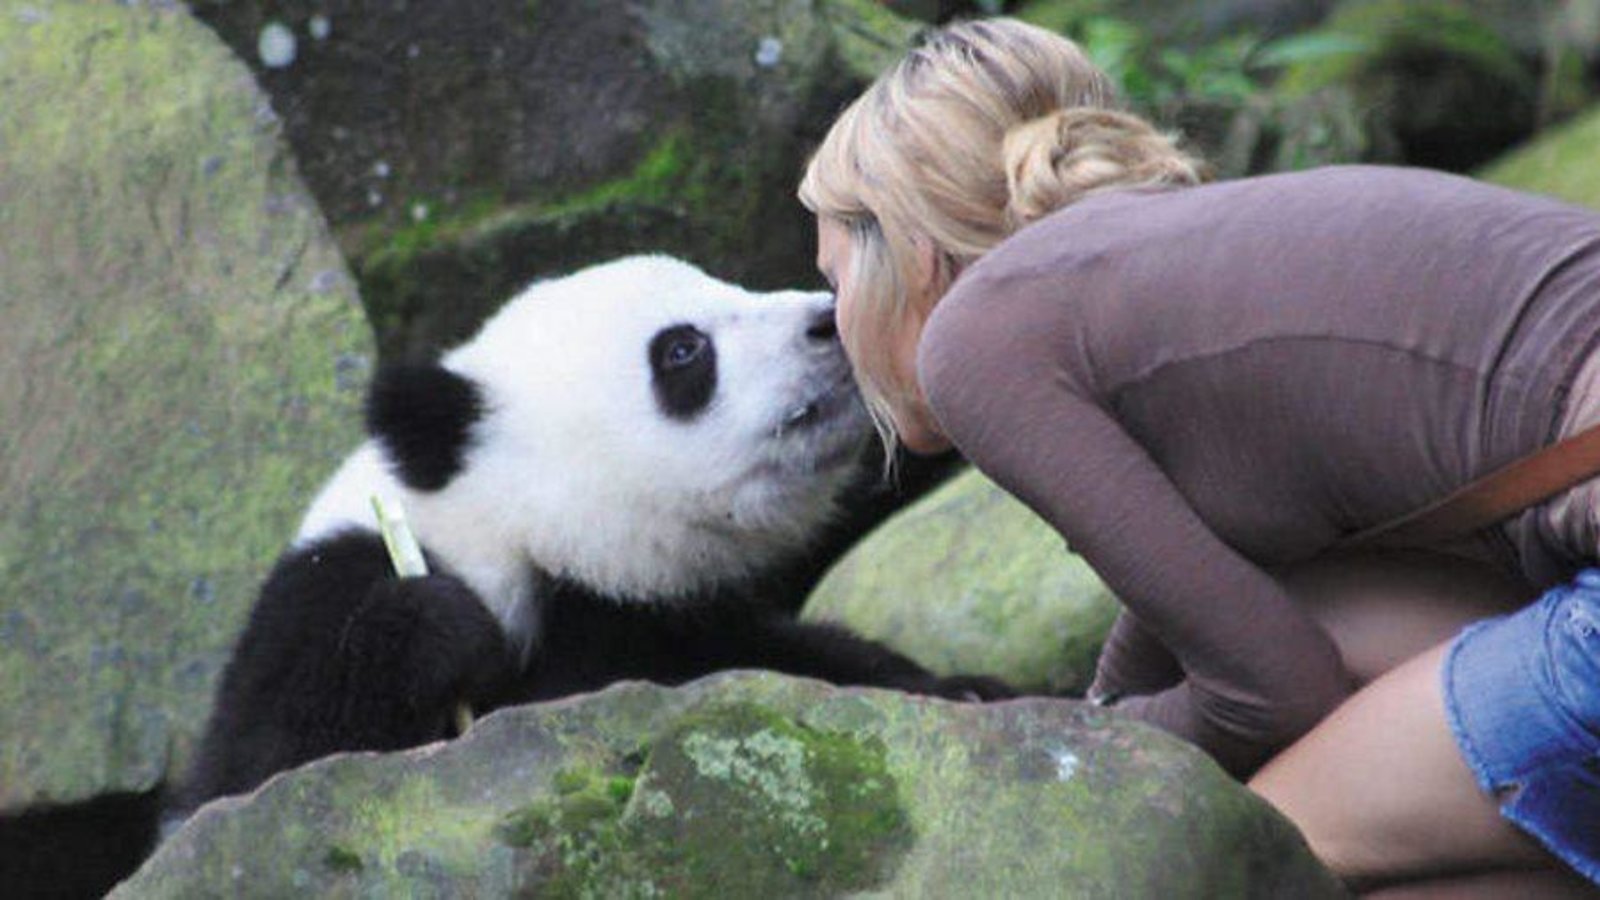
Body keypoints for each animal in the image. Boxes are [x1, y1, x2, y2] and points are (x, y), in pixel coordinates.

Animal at [176, 255, 1011, 813]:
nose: (827, 321)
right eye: (682, 349)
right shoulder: (323, 596)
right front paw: (440, 629)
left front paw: (965, 690)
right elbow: (264, 770)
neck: (513, 534)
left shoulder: (666, 626)